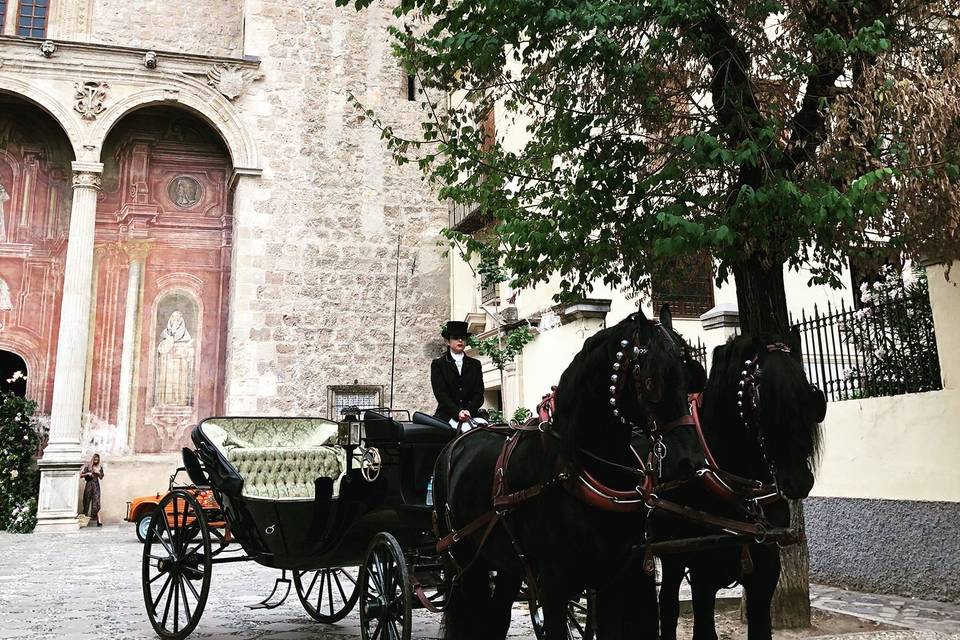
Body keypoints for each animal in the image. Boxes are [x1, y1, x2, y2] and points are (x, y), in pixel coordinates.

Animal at [432, 306, 708, 640]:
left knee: (497, 617)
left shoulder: (614, 580)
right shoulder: (554, 586)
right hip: (466, 560)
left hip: (508, 563)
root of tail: (459, 438)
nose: (690, 460)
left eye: (692, 377)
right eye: (652, 381)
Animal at [660, 332, 824, 640]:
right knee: (667, 604)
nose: (798, 480)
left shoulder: (764, 576)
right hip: (670, 554)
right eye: (763, 400)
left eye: (809, 396)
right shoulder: (703, 576)